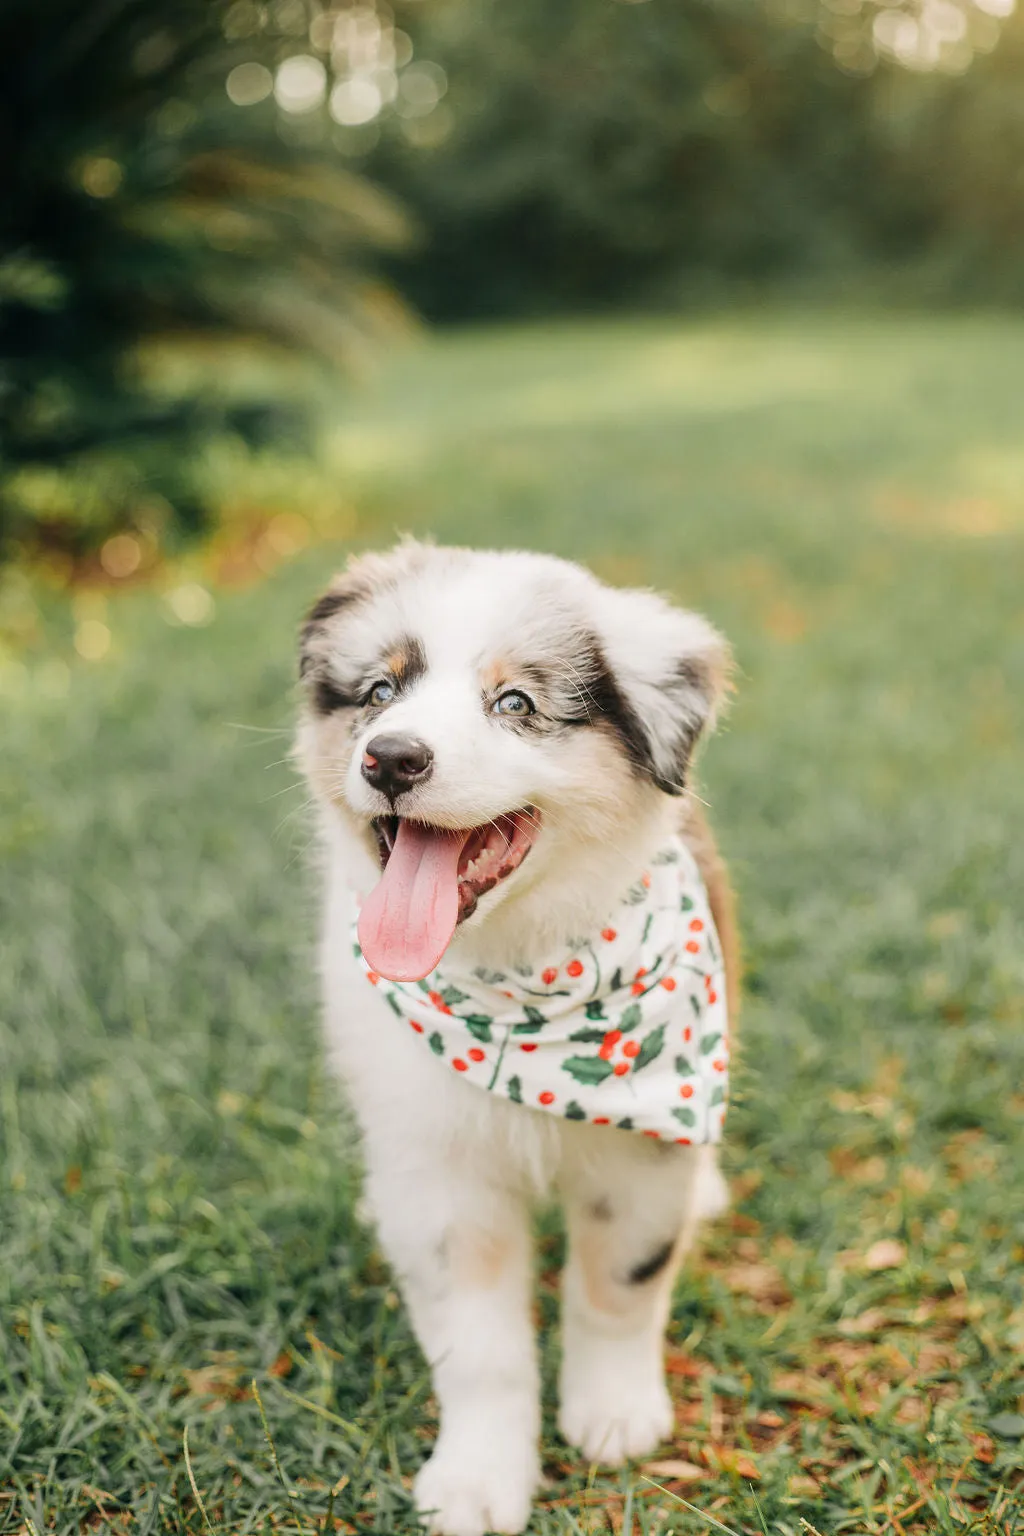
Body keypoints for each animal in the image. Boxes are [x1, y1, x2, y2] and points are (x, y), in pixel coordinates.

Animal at [296, 540, 736, 1536]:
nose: (391, 758)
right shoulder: (440, 1174)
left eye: (516, 705)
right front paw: (478, 1481)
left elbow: (618, 1289)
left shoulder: (642, 1156)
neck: (519, 984)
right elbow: (479, 1350)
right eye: (380, 690)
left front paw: (614, 1416)